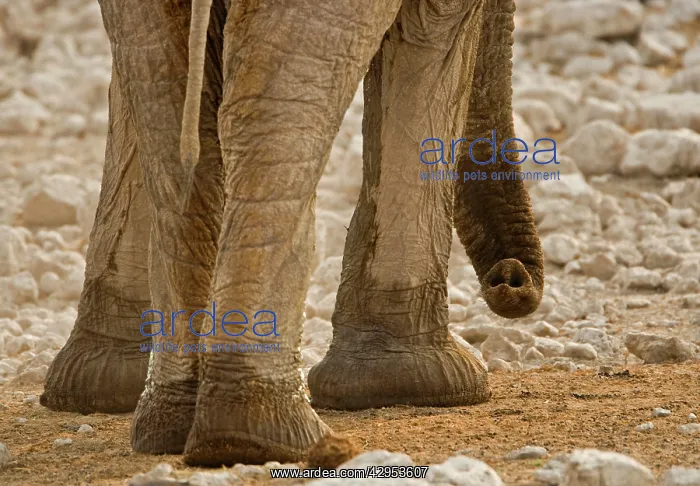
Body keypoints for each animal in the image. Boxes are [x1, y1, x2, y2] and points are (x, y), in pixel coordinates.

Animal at [39, 0, 545, 467]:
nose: (509, 280)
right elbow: (435, 35)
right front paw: (416, 384)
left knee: (169, 106)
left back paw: (177, 429)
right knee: (270, 106)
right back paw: (260, 440)